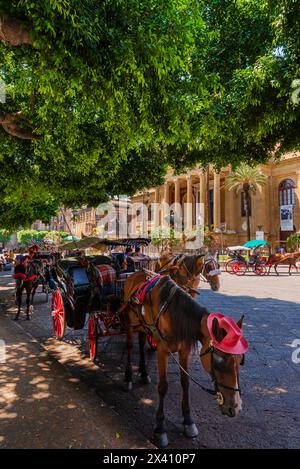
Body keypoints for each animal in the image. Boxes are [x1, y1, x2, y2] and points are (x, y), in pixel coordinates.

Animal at [120, 272, 247, 448]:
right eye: (218, 360)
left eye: (241, 360)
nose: (236, 407)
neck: (172, 314)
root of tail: (135, 273)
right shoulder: (162, 350)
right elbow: (163, 387)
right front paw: (160, 428)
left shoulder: (184, 350)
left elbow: (185, 383)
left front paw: (188, 421)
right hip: (128, 322)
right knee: (130, 346)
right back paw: (128, 378)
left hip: (143, 325)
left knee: (141, 339)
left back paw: (144, 373)